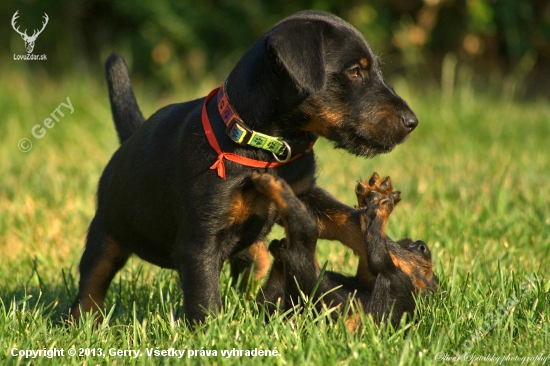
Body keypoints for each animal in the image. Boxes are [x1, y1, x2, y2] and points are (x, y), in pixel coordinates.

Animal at [71, 10, 420, 324]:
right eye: (355, 71)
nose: (412, 122)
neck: (268, 148)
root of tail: (130, 138)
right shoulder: (199, 242)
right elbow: (205, 300)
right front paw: (212, 337)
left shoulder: (304, 195)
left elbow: (347, 219)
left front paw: (401, 256)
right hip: (107, 231)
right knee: (90, 284)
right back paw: (83, 325)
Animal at [254, 172, 440, 328]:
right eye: (406, 242)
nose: (421, 245)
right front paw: (371, 198)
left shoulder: (396, 273)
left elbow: (375, 251)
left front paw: (376, 207)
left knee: (304, 227)